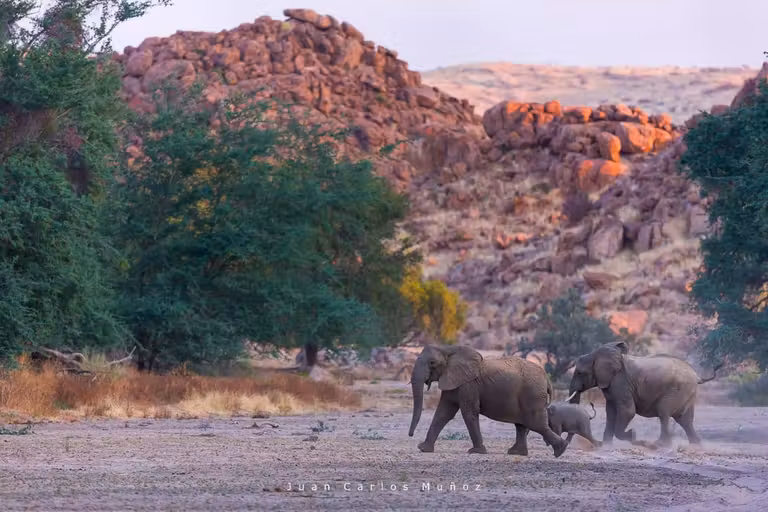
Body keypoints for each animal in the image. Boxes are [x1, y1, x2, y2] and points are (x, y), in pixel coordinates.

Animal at [408, 344, 569, 457]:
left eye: (432, 363)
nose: (410, 435)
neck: (448, 349)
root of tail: (547, 378)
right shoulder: (453, 381)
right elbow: (444, 413)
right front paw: (423, 448)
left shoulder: (469, 384)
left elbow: (468, 412)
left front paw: (476, 451)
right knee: (522, 425)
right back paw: (517, 453)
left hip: (532, 394)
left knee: (535, 424)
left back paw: (560, 450)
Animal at [567, 341, 722, 447]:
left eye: (580, 373)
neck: (596, 354)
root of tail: (697, 376)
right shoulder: (611, 385)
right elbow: (610, 412)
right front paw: (607, 446)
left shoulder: (620, 382)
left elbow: (628, 411)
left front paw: (633, 436)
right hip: (687, 392)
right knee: (685, 419)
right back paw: (696, 444)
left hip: (677, 389)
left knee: (664, 412)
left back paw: (659, 445)